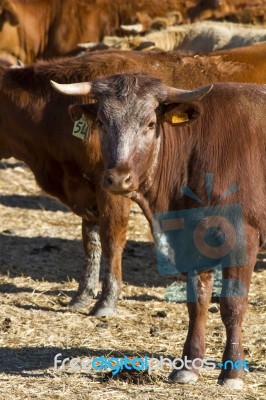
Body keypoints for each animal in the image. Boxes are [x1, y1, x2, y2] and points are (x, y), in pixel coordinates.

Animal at [1, 43, 266, 316]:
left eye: (150, 123)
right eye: (100, 121)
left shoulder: (112, 189)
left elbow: (112, 239)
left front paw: (107, 301)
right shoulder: (91, 191)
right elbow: (91, 242)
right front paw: (82, 296)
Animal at [54, 72, 266, 388]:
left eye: (150, 124)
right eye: (101, 122)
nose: (118, 178)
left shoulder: (243, 236)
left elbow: (232, 304)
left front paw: (232, 372)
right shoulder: (190, 239)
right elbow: (197, 302)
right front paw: (188, 365)